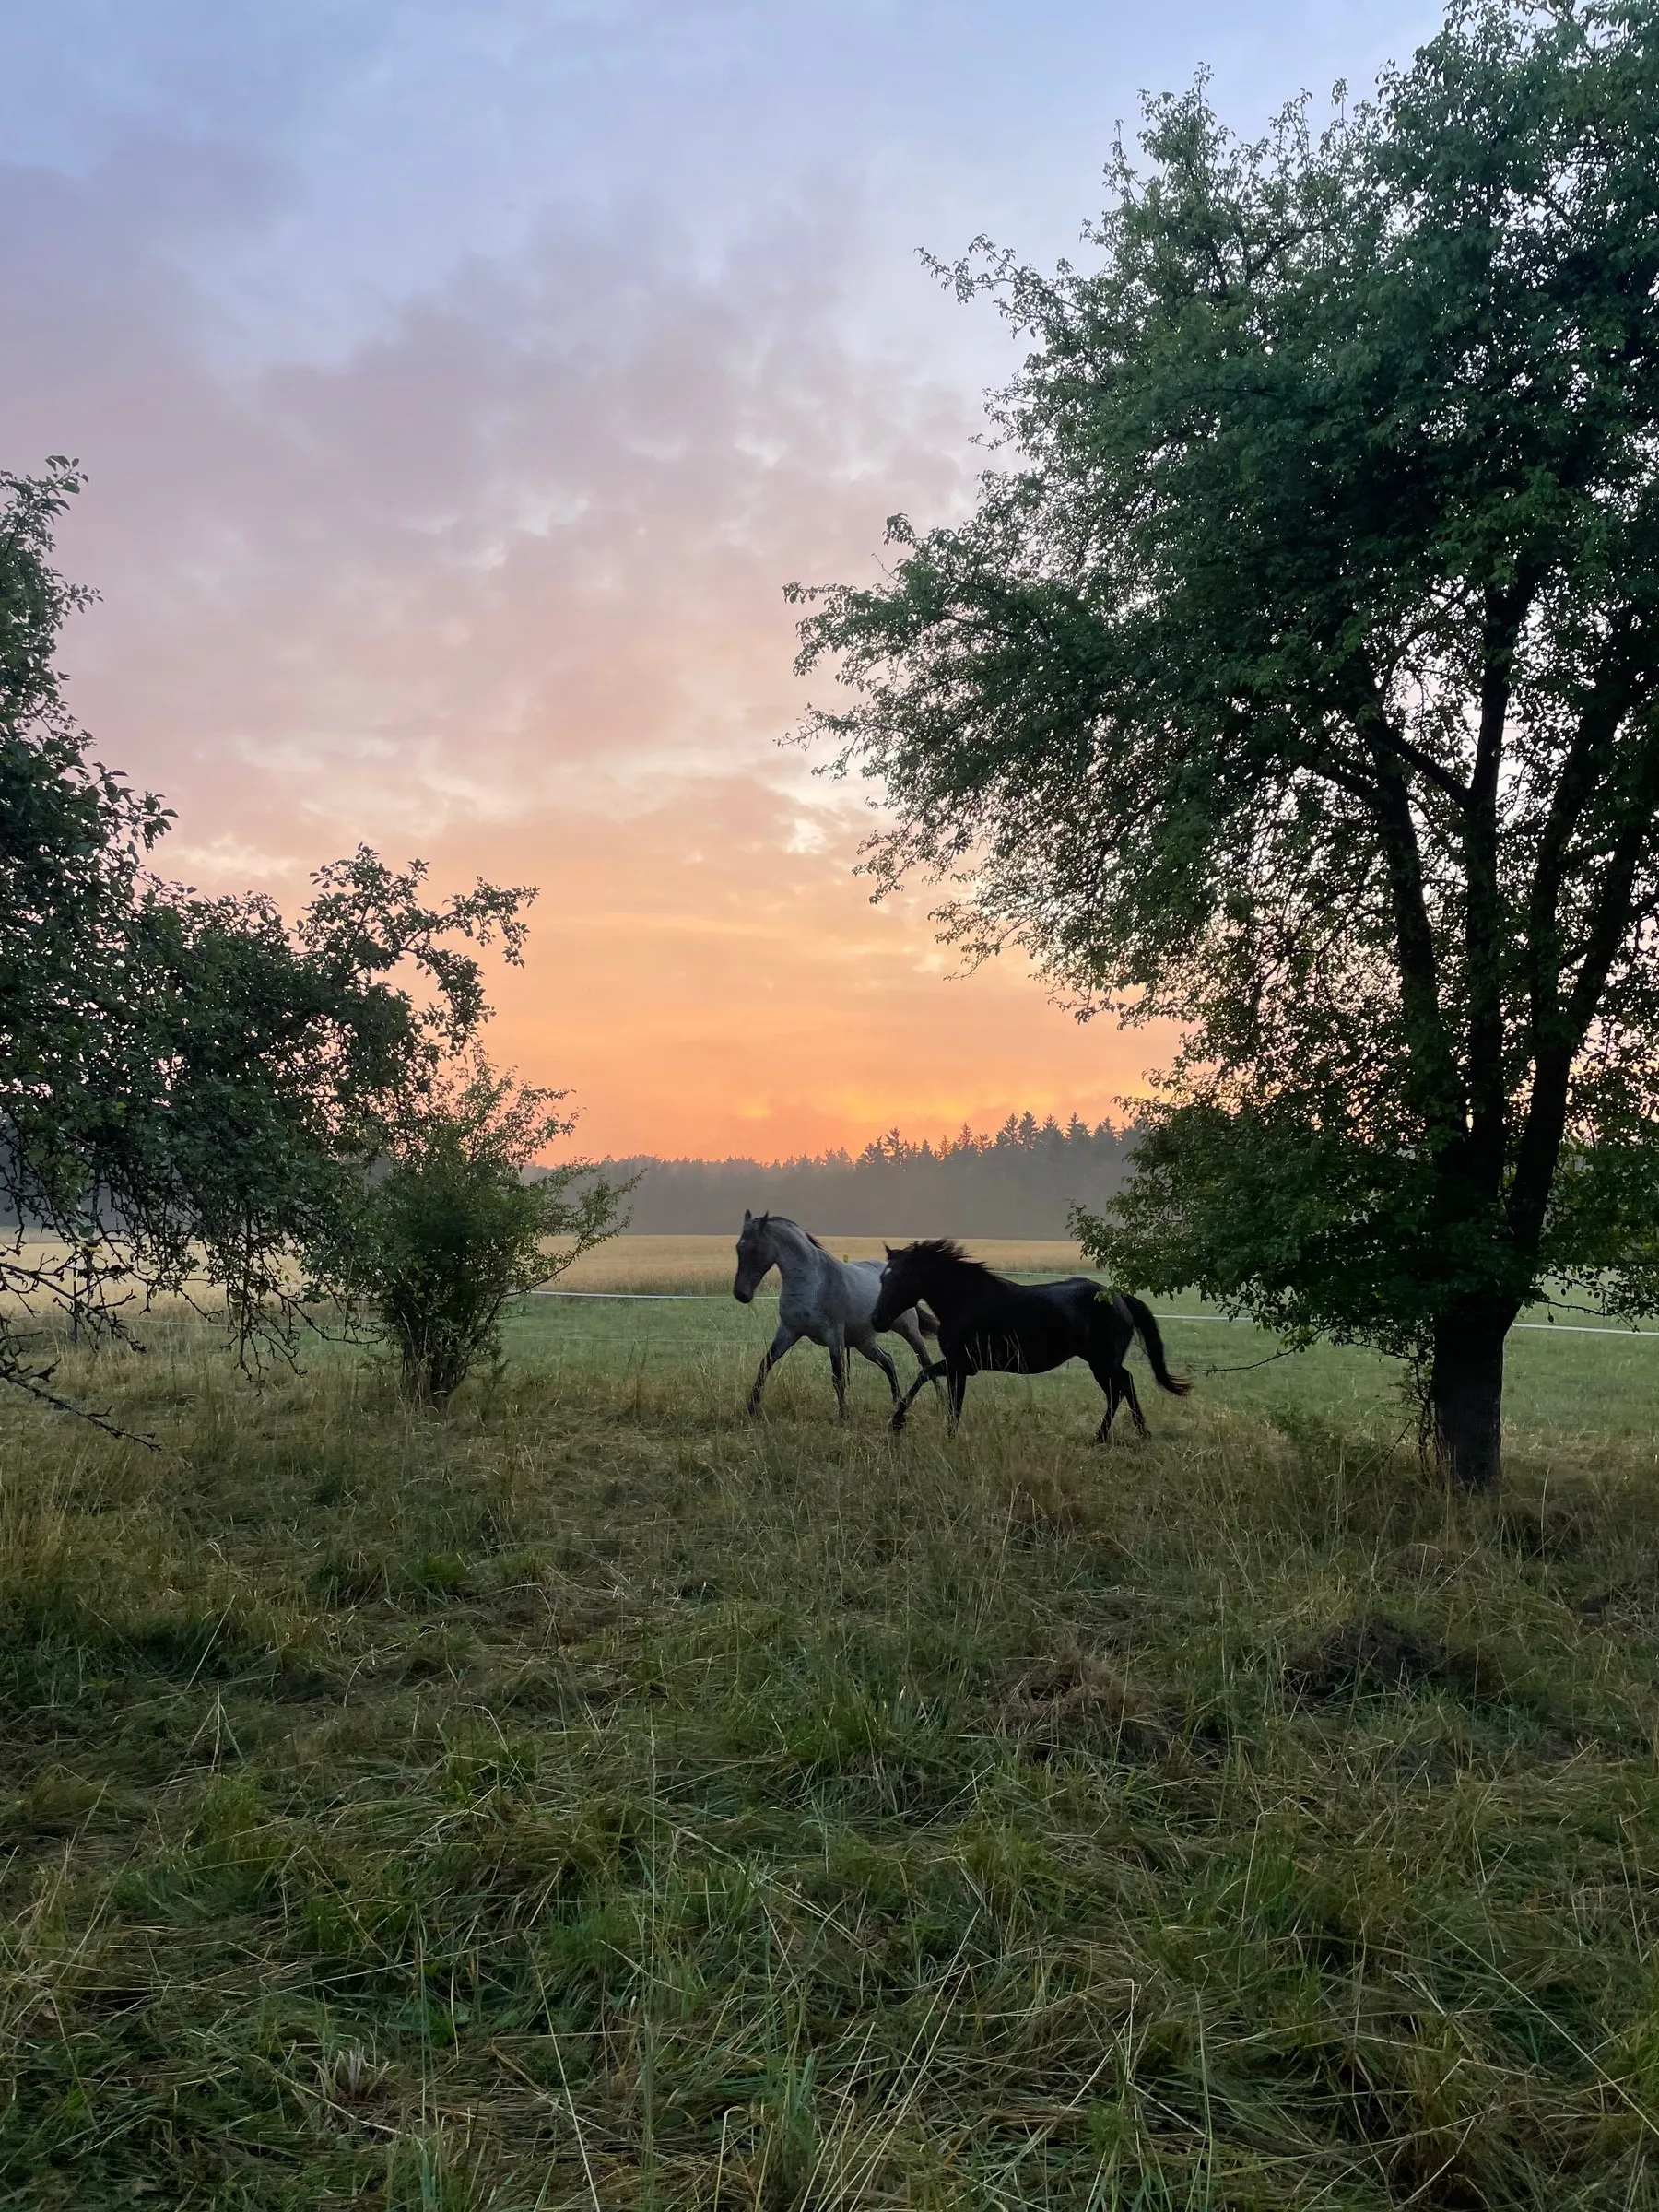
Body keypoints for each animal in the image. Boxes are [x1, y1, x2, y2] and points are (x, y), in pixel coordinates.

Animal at [732, 1211, 939, 1421]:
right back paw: (896, 1401)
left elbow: (838, 1377)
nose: (741, 1294)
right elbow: (765, 1365)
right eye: (738, 1247)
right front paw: (751, 1408)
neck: (812, 1283)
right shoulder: (788, 1332)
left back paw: (941, 1400)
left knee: (925, 1363)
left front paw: (842, 1417)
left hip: (909, 1331)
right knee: (888, 1360)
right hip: (864, 1342)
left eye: (756, 1250)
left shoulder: (834, 1336)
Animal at [871, 1238, 1190, 1441]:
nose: (876, 1321)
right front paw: (944, 1434)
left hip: (1103, 1362)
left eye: (901, 1278)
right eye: (883, 1278)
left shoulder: (960, 1364)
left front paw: (897, 1423)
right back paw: (1119, 1435)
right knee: (1121, 1388)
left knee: (1122, 1386)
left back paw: (1121, 1434)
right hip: (1100, 1362)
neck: (965, 1301)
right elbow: (949, 1401)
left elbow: (927, 1377)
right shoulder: (959, 1368)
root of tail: (1118, 1297)